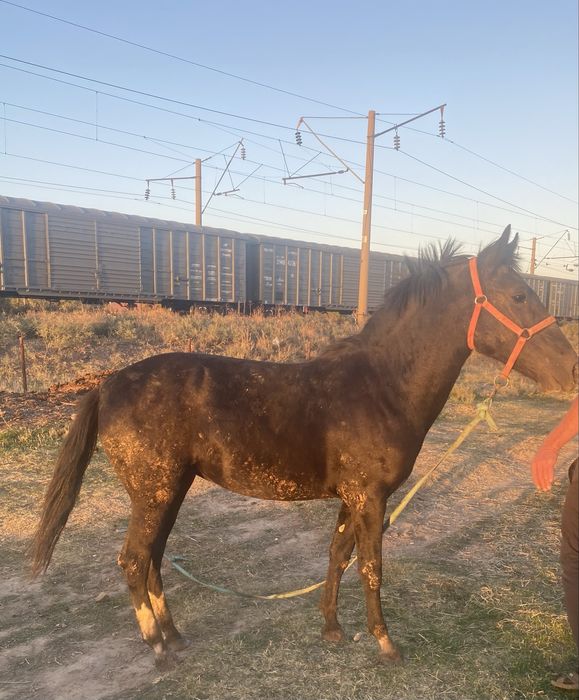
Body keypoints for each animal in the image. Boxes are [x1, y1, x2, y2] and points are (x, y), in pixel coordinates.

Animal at [31, 227, 577, 668]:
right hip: (155, 492)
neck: (381, 387)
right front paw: (385, 644)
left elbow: (337, 556)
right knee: (133, 559)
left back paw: (175, 635)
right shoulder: (371, 498)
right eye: (519, 295)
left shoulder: (352, 499)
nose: (571, 369)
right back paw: (158, 648)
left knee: (153, 558)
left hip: (171, 490)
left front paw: (332, 629)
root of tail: (108, 384)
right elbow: (372, 567)